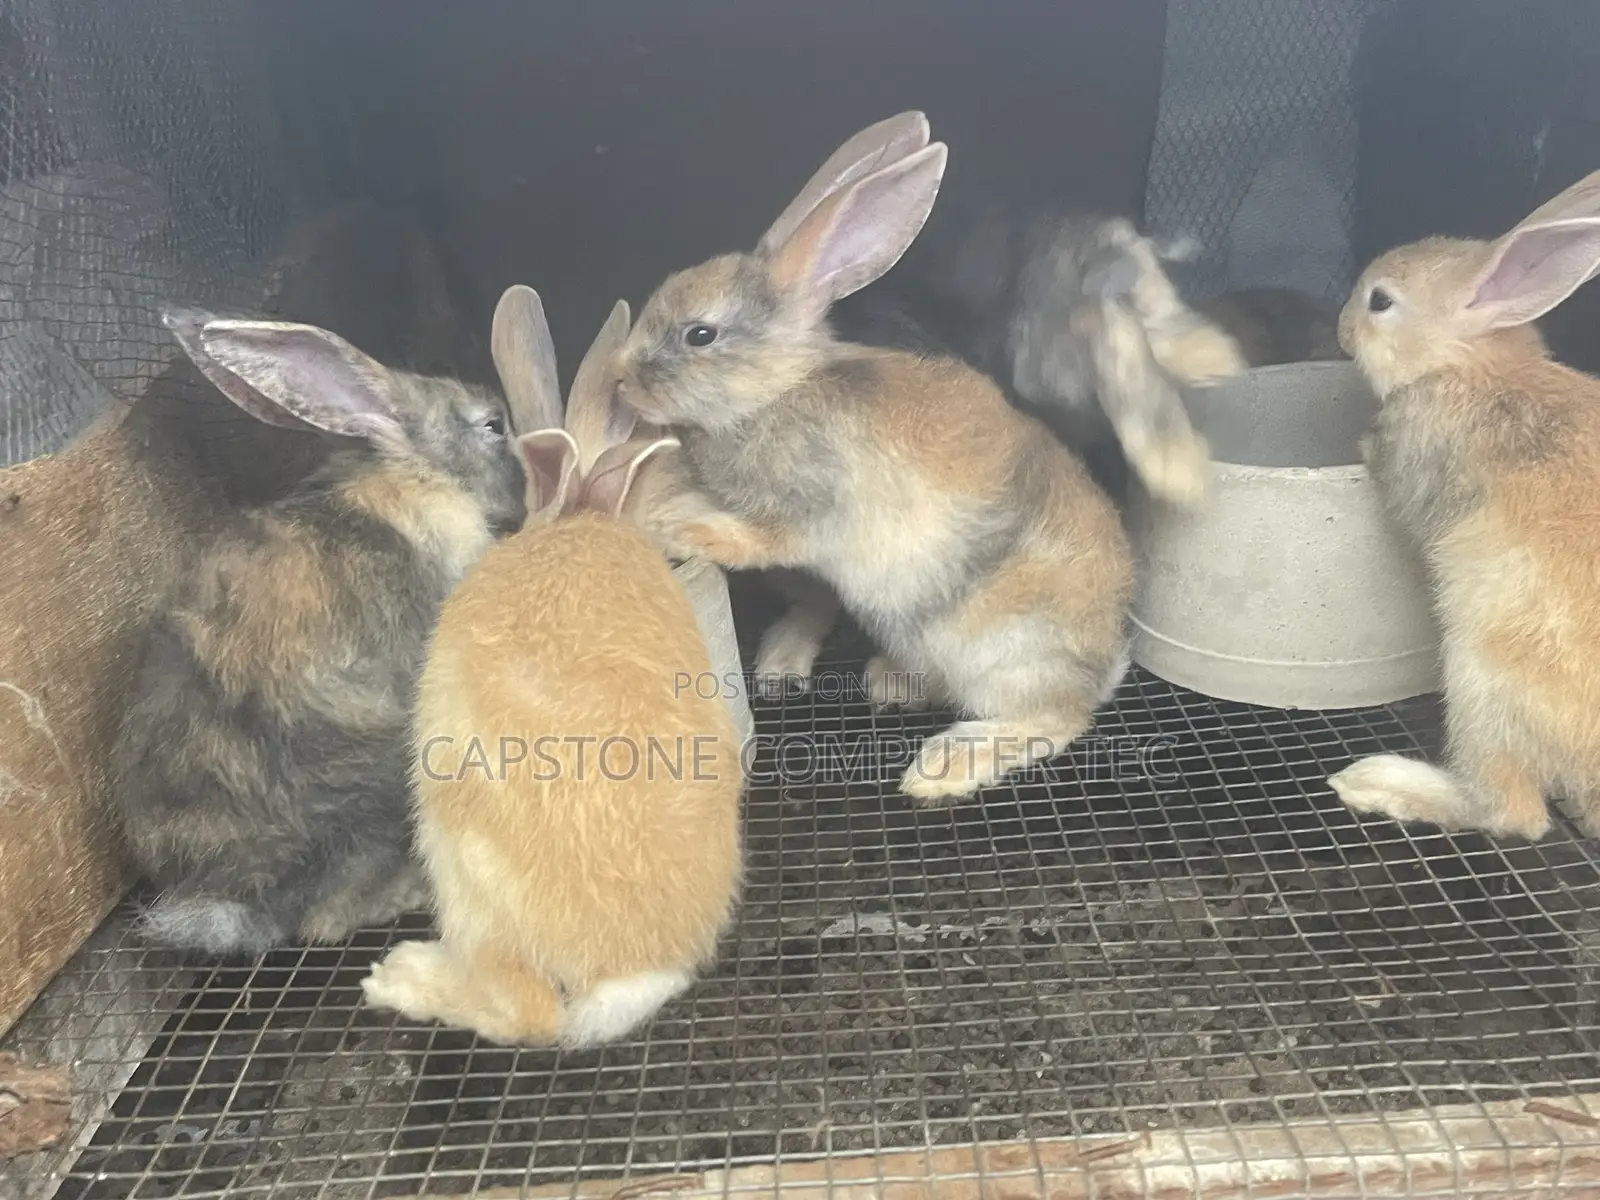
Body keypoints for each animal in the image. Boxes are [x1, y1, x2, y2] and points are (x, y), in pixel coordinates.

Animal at [610, 111, 1135, 805]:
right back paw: (891, 682)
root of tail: (1106, 662)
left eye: (700, 334)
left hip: (998, 648)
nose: (619, 380)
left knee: (1055, 719)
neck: (776, 391)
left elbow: (748, 535)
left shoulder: (800, 515)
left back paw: (942, 768)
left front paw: (675, 525)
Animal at [1326, 167, 1600, 843]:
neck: (1471, 364)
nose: (1340, 325)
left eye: (1380, 302)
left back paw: (1376, 781)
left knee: (1512, 812)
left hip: (1481, 675)